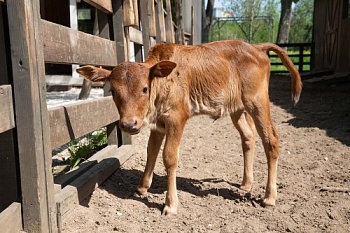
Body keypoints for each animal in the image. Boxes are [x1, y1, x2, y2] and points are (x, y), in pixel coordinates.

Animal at [76, 39, 300, 215]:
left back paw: (269, 197)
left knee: (271, 140)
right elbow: (151, 151)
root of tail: (256, 47)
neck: (163, 81)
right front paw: (142, 188)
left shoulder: (177, 118)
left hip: (257, 102)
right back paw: (246, 183)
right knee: (248, 137)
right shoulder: (159, 124)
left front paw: (170, 204)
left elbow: (169, 156)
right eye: (113, 91)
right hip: (237, 109)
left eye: (145, 88)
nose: (129, 124)